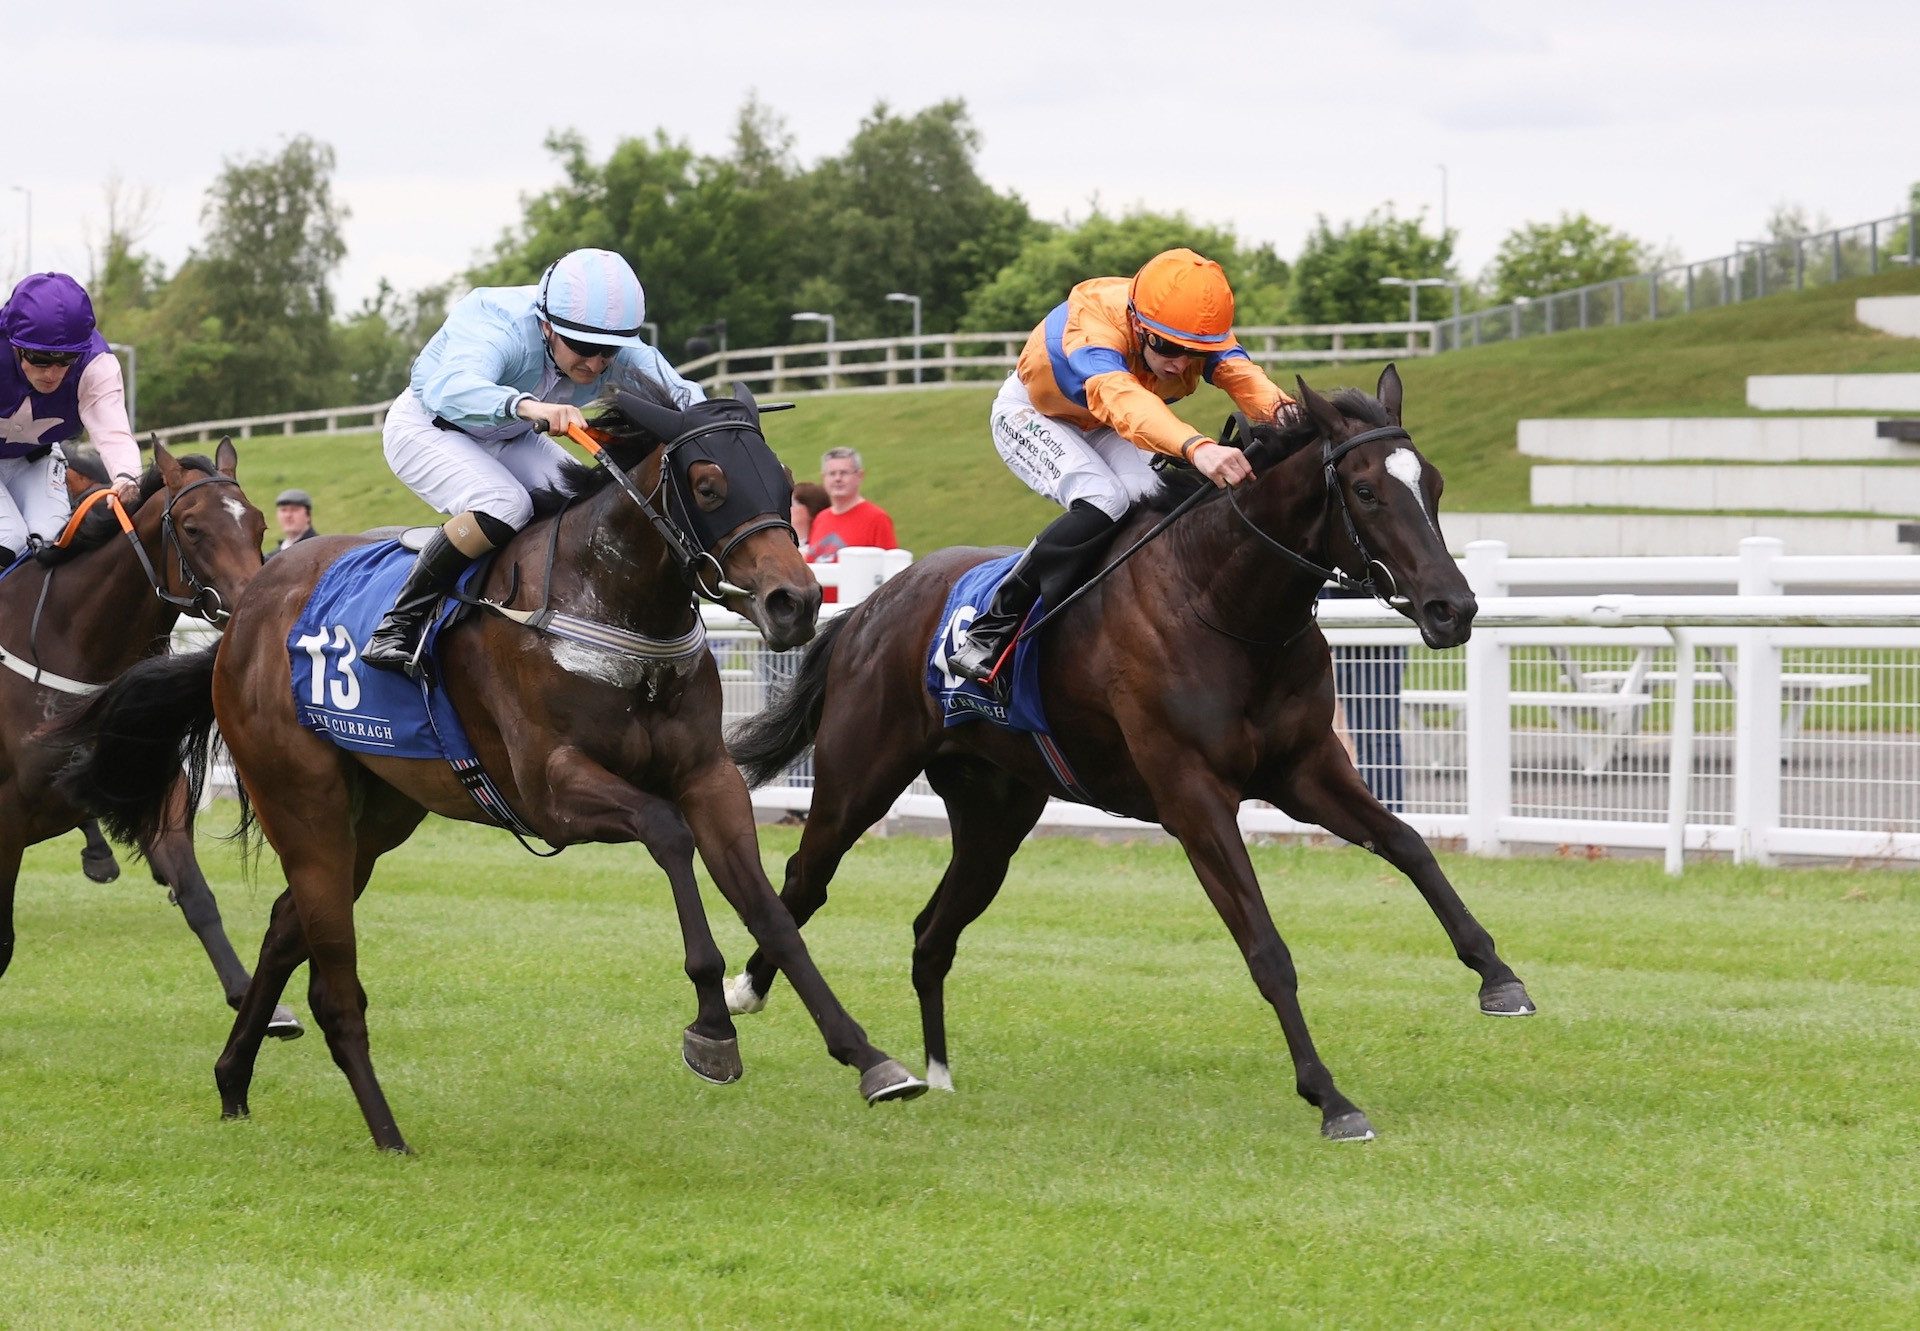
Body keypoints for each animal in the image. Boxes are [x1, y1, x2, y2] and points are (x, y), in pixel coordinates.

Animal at [0, 435, 297, 1029]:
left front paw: (254, 1000)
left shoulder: (151, 785)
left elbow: (197, 896)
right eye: (192, 527)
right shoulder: (7, 813)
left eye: (257, 523)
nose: (256, 606)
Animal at [56, 386, 925, 1152]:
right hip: (300, 797)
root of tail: (242, 616)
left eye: (783, 481)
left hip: (376, 815)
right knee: (333, 976)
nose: (795, 601)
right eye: (709, 484)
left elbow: (772, 910)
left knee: (282, 925)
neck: (606, 600)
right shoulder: (553, 790)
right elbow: (669, 835)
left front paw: (869, 1056)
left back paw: (235, 1079)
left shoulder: (709, 776)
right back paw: (386, 1134)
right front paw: (712, 1025)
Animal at [725, 366, 1536, 1144]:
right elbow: (1267, 947)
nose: (1453, 608)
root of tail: (870, 604)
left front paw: (1498, 976)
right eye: (1365, 490)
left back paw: (939, 1071)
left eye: (1433, 484)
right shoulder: (1194, 797)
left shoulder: (1305, 768)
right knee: (804, 879)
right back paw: (750, 992)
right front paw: (1330, 1098)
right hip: (860, 776)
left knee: (932, 930)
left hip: (995, 817)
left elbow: (1407, 844)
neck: (1223, 601)